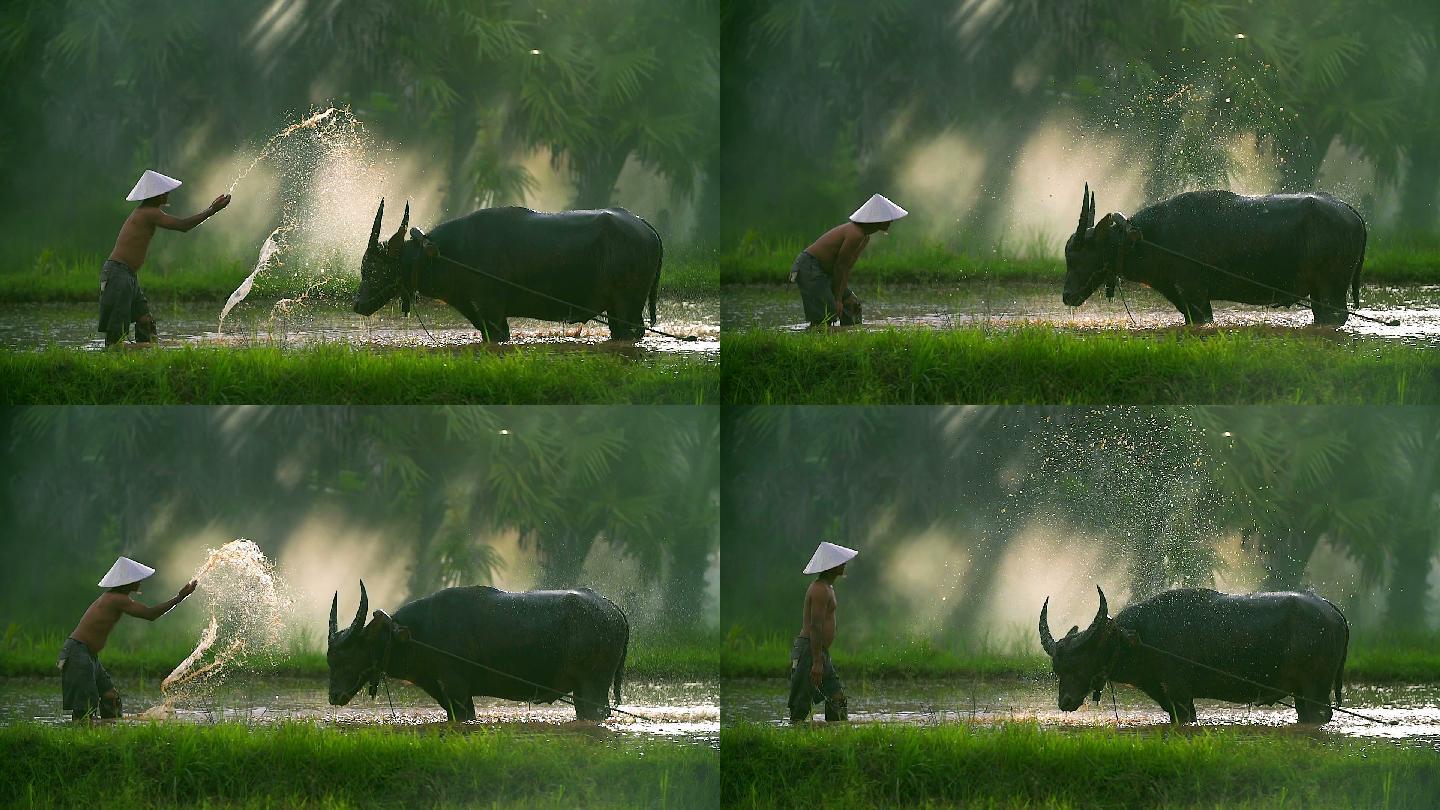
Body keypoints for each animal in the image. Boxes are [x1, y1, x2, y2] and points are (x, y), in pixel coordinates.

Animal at [334, 579, 633, 717]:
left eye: (347, 658)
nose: (334, 695)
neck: (419, 633)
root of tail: (612, 608)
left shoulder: (456, 689)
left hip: (593, 687)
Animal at [354, 201, 662, 343]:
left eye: (374, 269)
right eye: (364, 268)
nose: (357, 304)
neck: (449, 254)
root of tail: (644, 226)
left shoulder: (492, 313)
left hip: (626, 307)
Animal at [1042, 582, 1342, 720]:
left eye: (1079, 662)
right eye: (1057, 668)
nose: (1065, 702)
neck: (1140, 636)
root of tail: (1331, 609)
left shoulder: (1180, 694)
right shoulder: (1167, 696)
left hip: (1315, 690)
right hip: (1302, 693)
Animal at [1065, 185, 1365, 324]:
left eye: (1079, 255)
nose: (1066, 295)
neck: (1149, 237)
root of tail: (1349, 210)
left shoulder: (1195, 295)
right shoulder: (1183, 299)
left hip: (1331, 290)